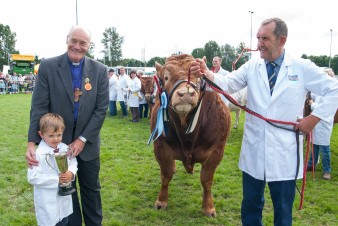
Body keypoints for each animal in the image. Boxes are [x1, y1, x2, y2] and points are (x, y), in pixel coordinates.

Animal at [151, 53, 232, 216]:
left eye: (199, 76)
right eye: (166, 77)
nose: (186, 93)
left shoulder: (217, 151)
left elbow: (207, 180)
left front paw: (209, 207)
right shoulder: (160, 146)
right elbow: (166, 175)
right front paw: (161, 201)